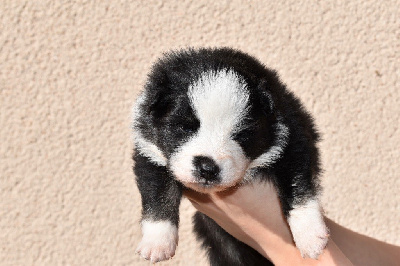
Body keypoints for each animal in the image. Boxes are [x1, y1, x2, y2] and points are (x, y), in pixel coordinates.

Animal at [131, 46, 328, 264]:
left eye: (240, 134)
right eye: (185, 127)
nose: (207, 168)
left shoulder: (294, 138)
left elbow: (298, 187)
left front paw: (310, 236)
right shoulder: (150, 150)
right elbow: (158, 194)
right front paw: (157, 242)